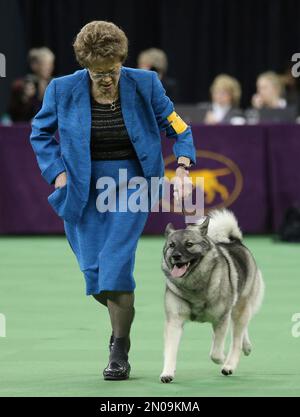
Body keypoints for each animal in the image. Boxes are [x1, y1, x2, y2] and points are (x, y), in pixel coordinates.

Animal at [161, 208, 264, 380]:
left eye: (189, 244)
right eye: (171, 245)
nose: (175, 256)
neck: (194, 285)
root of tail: (235, 241)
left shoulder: (221, 319)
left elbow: (215, 353)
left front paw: (222, 358)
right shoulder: (174, 322)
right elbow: (170, 351)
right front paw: (167, 372)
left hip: (240, 307)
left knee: (237, 339)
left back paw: (229, 364)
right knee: (241, 330)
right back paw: (246, 346)